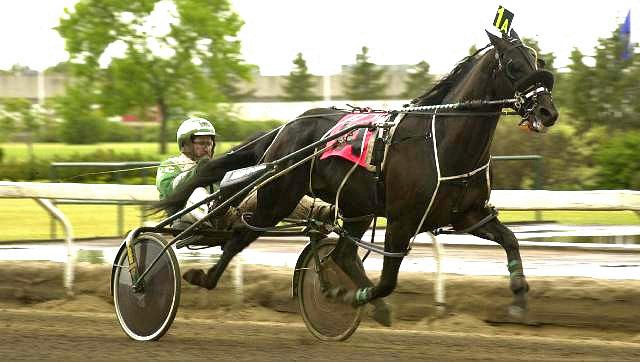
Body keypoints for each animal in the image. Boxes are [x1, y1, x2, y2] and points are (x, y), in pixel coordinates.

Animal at [159, 30, 556, 326]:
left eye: (538, 61)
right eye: (514, 65)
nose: (547, 112)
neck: (440, 140)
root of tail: (287, 126)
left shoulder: (468, 215)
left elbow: (510, 240)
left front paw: (519, 297)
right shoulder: (402, 220)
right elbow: (388, 280)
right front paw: (346, 294)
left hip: (355, 207)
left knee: (344, 253)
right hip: (278, 197)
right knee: (242, 233)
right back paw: (203, 277)